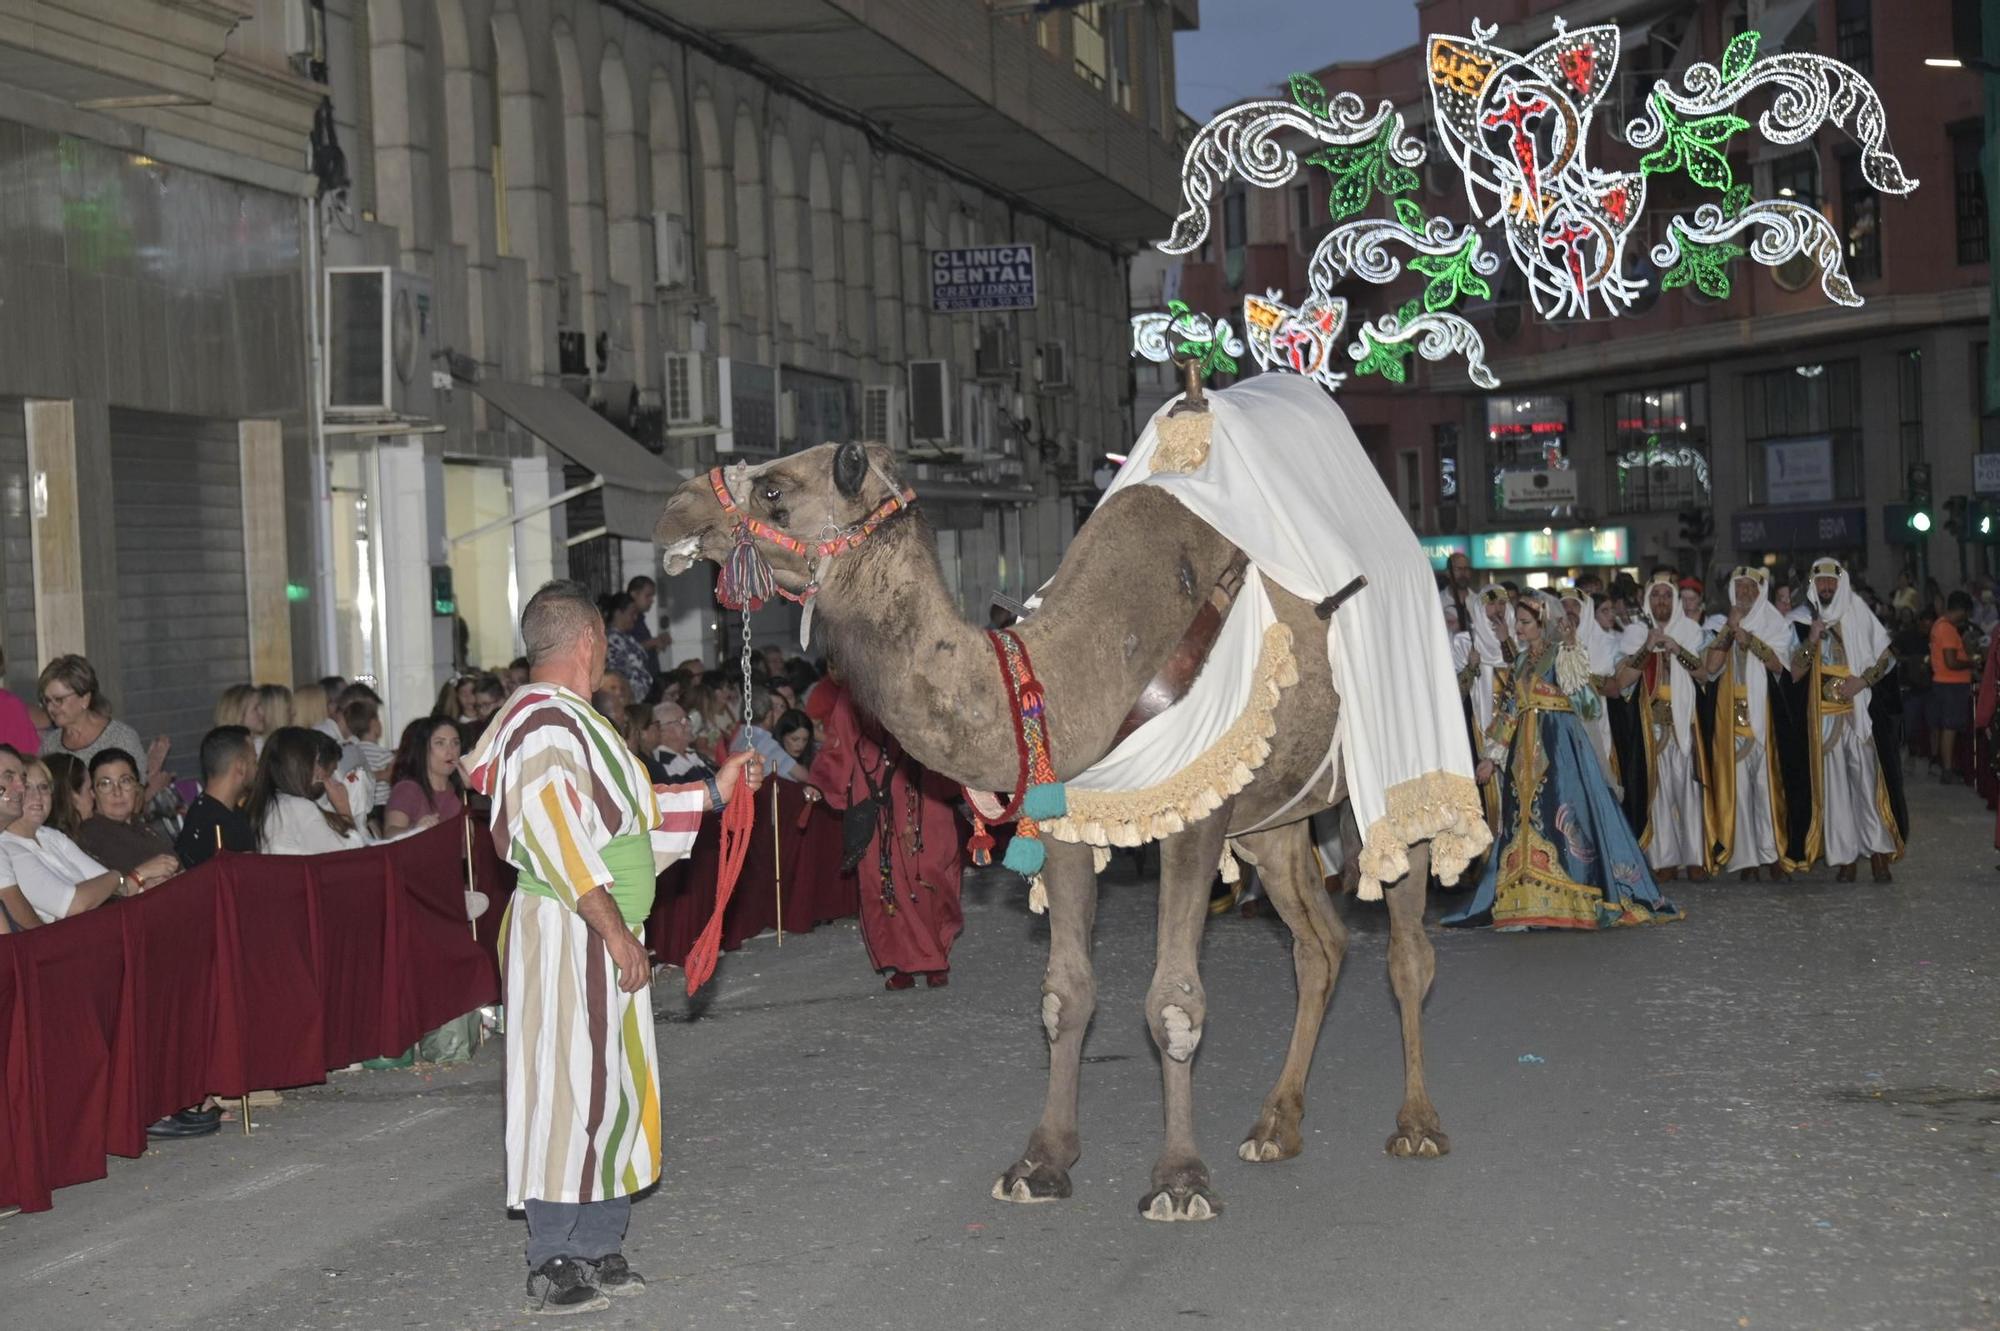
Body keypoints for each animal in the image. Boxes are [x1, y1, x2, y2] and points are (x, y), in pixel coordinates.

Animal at [660, 433, 1456, 1215]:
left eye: (775, 488)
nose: (676, 506)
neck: (1077, 676)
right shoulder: (1071, 824)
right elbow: (1064, 995)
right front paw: (1041, 1163)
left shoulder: (1196, 813)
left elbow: (1173, 1002)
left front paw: (1180, 1180)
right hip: (1274, 818)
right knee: (1319, 944)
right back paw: (1274, 1125)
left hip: (1395, 779)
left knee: (1407, 946)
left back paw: (1417, 1125)